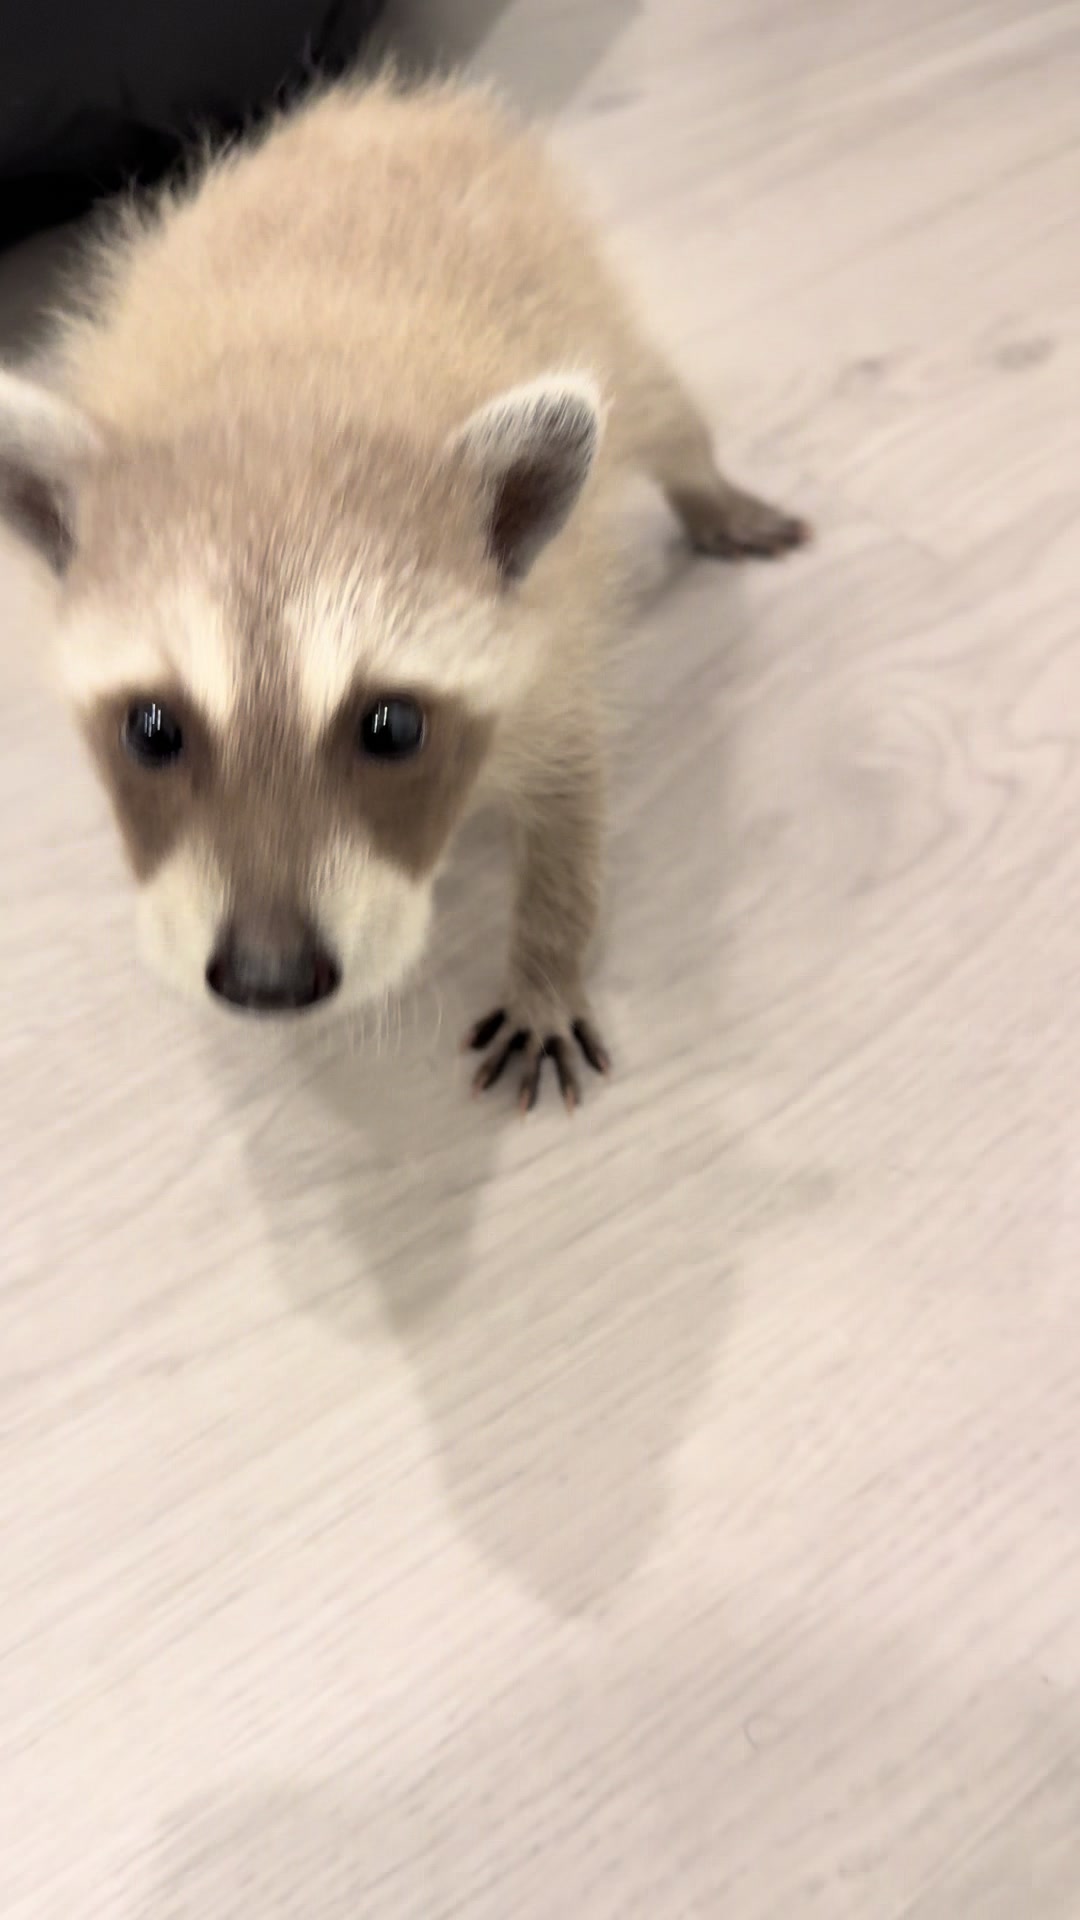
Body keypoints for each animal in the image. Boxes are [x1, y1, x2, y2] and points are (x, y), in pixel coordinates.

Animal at [0, 76, 807, 1112]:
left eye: (392, 726)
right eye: (152, 729)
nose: (268, 980)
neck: (280, 411)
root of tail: (381, 106)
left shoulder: (548, 639)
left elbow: (571, 799)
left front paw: (547, 957)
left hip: (593, 311)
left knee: (662, 411)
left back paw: (707, 487)